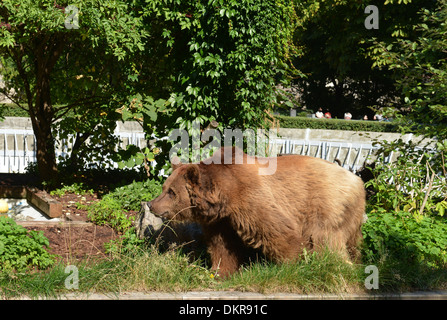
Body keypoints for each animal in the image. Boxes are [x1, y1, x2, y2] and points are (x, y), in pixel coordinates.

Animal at [149, 146, 366, 276]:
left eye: (172, 192)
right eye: (164, 187)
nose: (152, 204)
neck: (225, 196)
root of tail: (357, 181)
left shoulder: (251, 200)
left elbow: (279, 231)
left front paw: (291, 265)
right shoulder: (222, 221)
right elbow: (222, 246)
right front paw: (220, 272)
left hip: (325, 205)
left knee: (326, 241)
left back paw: (337, 266)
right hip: (350, 219)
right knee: (351, 245)